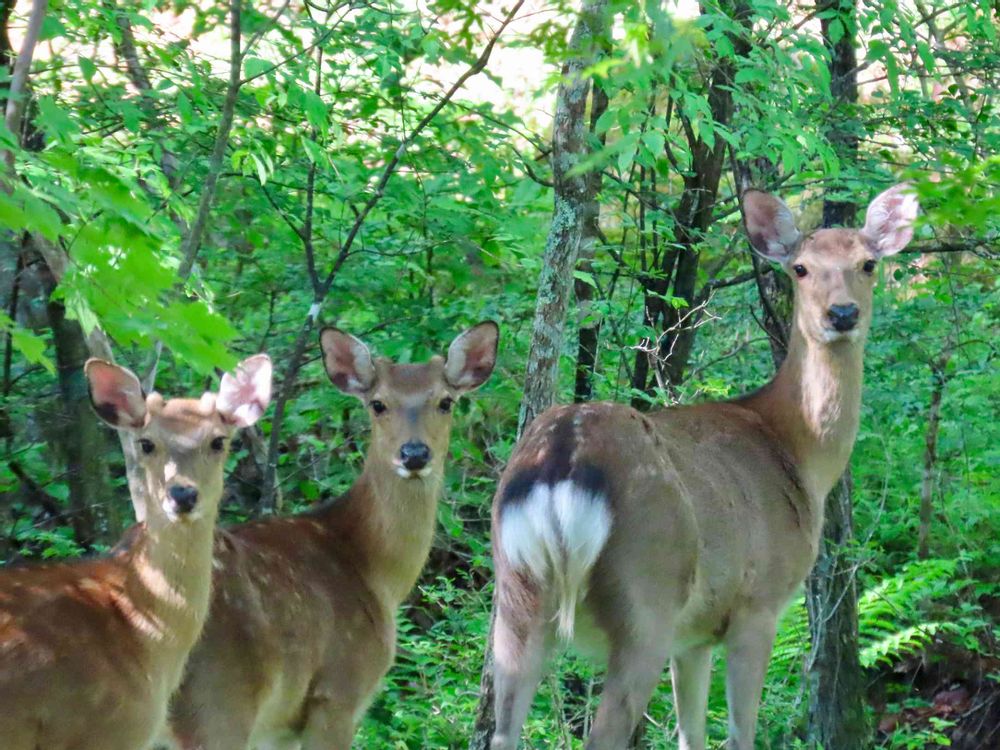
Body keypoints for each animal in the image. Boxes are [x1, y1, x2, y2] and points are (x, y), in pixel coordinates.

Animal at [166, 321, 498, 749]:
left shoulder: (279, 728)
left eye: (445, 401)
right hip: (220, 699)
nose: (414, 453)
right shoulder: (340, 689)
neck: (373, 568)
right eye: (378, 404)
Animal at [489, 184, 919, 749]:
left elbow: (689, 734)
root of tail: (561, 458)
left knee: (500, 729)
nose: (842, 313)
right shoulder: (757, 604)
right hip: (646, 595)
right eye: (800, 268)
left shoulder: (693, 636)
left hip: (514, 597)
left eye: (867, 263)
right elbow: (739, 734)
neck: (797, 450)